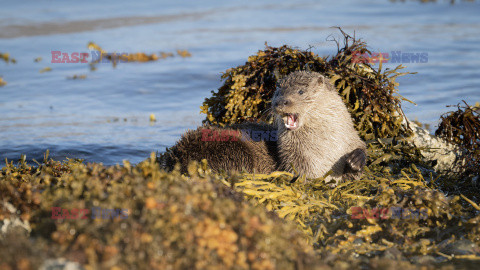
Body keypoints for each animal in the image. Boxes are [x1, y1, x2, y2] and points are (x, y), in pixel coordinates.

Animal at [162, 70, 368, 184]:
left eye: (301, 91)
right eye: (278, 92)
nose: (280, 102)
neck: (328, 147)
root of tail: (175, 156)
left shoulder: (349, 141)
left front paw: (355, 160)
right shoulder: (299, 162)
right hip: (231, 149)